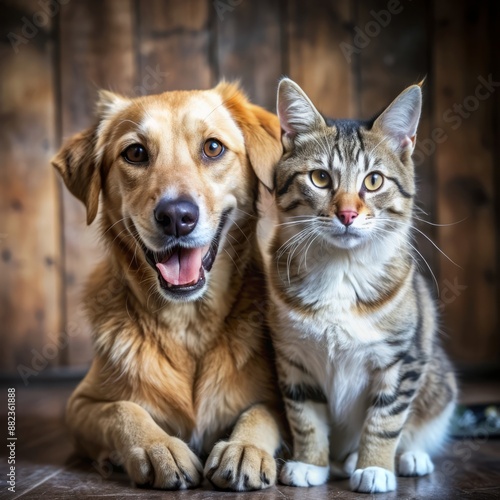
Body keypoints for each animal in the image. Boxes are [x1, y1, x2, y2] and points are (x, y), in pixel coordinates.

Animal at [51, 83, 286, 492]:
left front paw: (244, 448)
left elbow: (262, 411)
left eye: (213, 147)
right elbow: (123, 409)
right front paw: (158, 447)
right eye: (135, 153)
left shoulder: (281, 402)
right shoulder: (79, 405)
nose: (177, 216)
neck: (187, 321)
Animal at [266, 78, 458, 492]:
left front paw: (375, 467)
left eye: (374, 180)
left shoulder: (404, 356)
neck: (341, 272)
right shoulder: (293, 357)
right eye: (320, 178)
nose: (348, 214)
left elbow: (385, 419)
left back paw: (404, 458)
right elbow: (305, 415)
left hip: (439, 381)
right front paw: (310, 462)